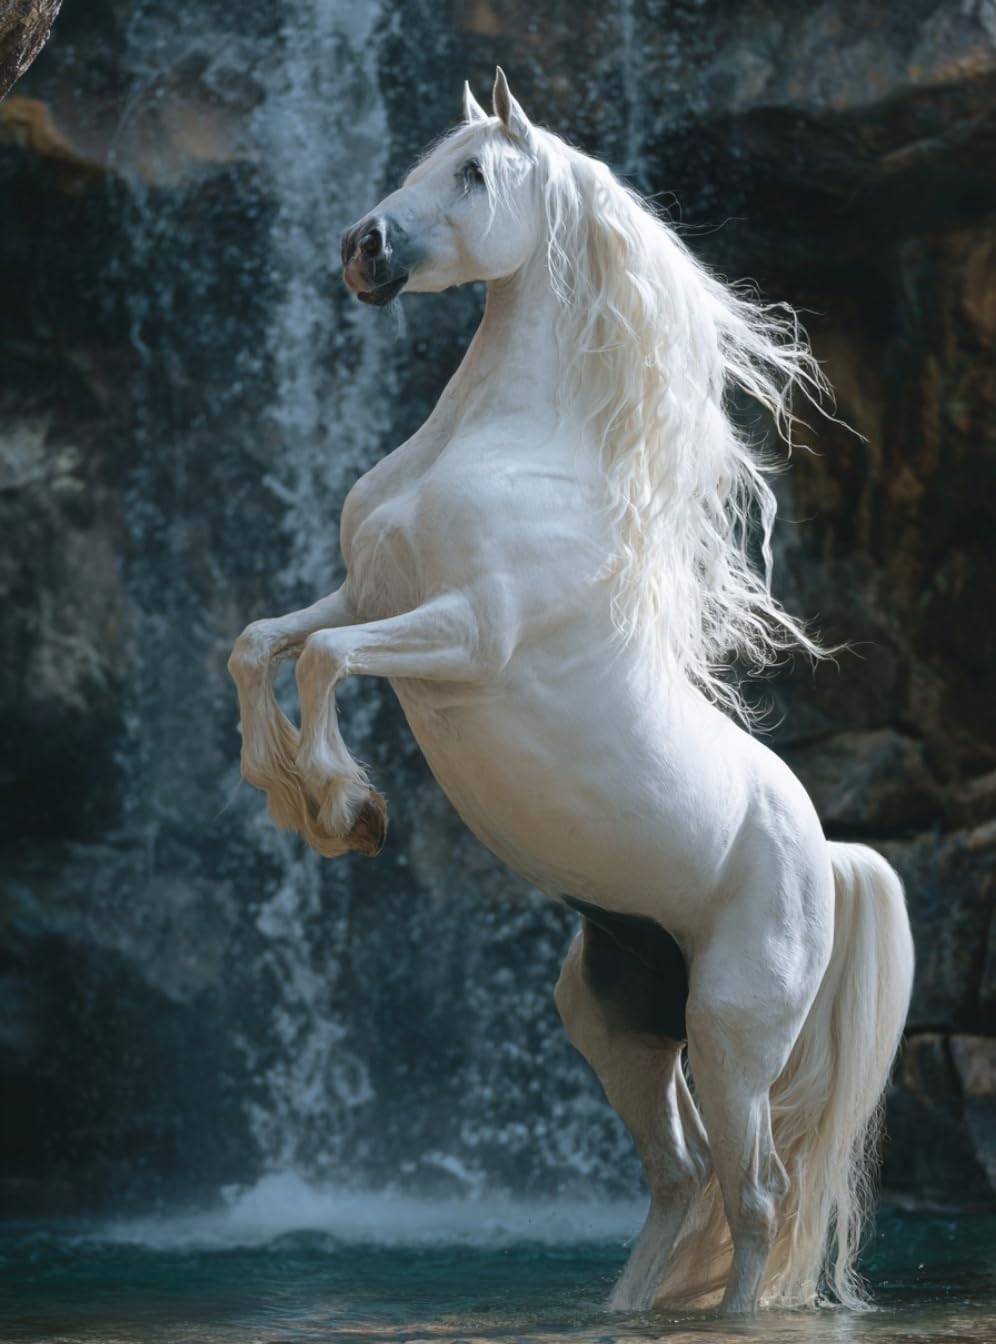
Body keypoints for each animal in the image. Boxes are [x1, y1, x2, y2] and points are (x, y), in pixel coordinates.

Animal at [228, 69, 915, 1315]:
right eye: (422, 159)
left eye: (474, 173)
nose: (361, 250)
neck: (508, 444)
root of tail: (826, 853)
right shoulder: (366, 588)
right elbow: (261, 645)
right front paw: (290, 795)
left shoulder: (465, 635)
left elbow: (324, 660)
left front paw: (345, 807)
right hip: (618, 1020)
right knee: (681, 1179)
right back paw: (622, 1310)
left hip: (734, 1033)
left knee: (755, 1195)